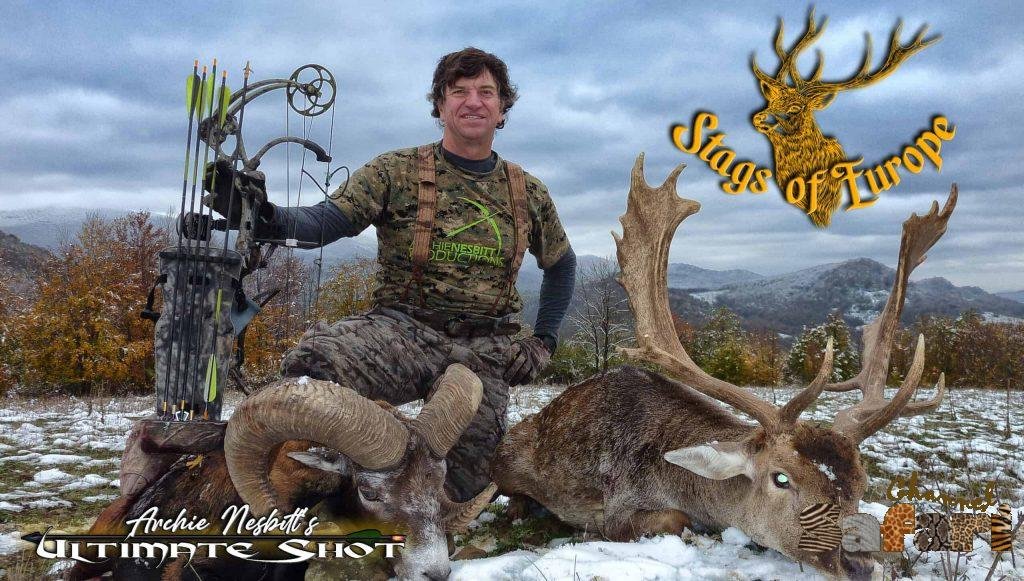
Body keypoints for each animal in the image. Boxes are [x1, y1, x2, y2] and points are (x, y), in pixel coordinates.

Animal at [492, 154, 957, 579]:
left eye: (861, 484)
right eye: (781, 478)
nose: (861, 564)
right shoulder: (620, 508)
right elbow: (672, 520)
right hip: (506, 461)